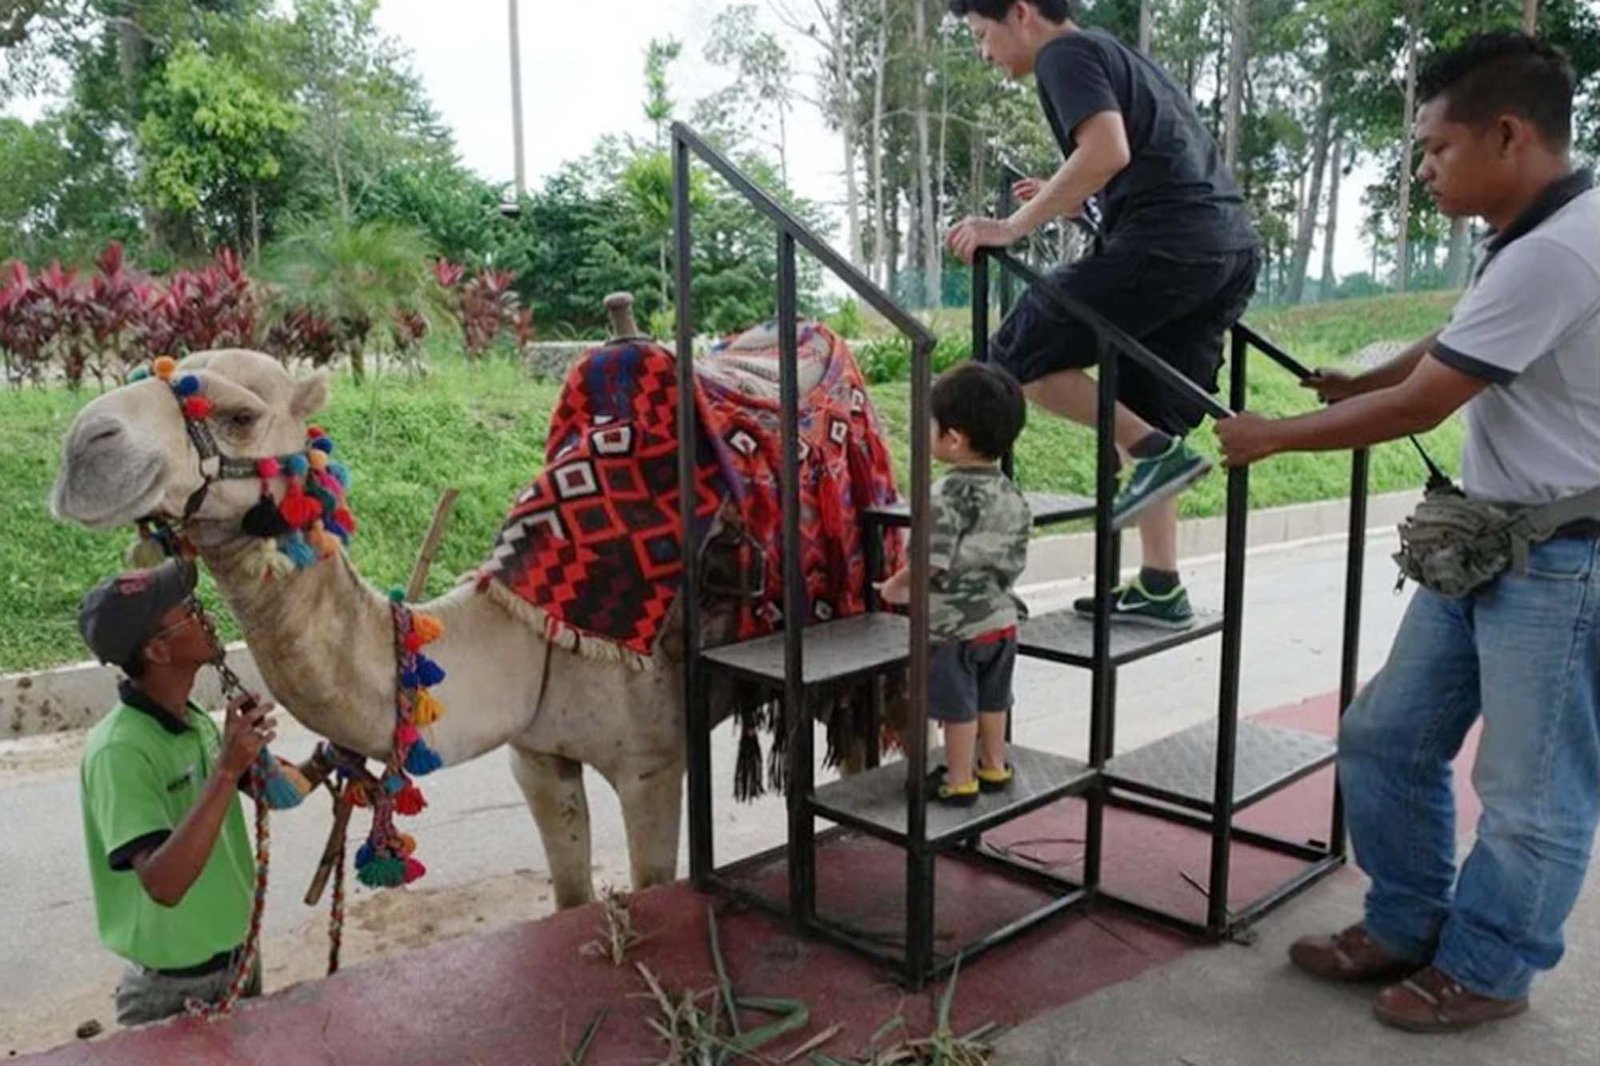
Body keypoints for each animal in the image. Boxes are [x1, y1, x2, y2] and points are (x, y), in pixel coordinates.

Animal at [50, 334, 850, 910]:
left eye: (239, 416)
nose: (84, 446)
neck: (533, 629)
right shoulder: (536, 756)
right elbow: (569, 897)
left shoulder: (652, 762)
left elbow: (656, 886)